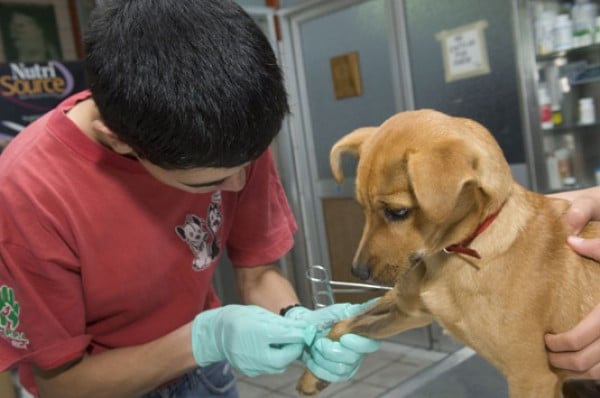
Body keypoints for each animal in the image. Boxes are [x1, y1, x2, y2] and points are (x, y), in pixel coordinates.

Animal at [298, 109, 600, 398]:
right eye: (363, 208)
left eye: (398, 212)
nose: (357, 272)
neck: (455, 251)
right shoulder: (409, 311)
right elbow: (345, 323)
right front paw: (314, 373)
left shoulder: (532, 377)